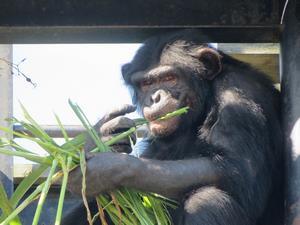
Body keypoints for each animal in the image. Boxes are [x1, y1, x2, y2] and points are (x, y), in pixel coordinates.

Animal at [63, 30, 284, 225]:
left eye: (170, 78)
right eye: (146, 83)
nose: (154, 97)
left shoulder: (237, 95)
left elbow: (240, 171)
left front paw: (108, 168)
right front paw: (105, 133)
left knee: (207, 200)